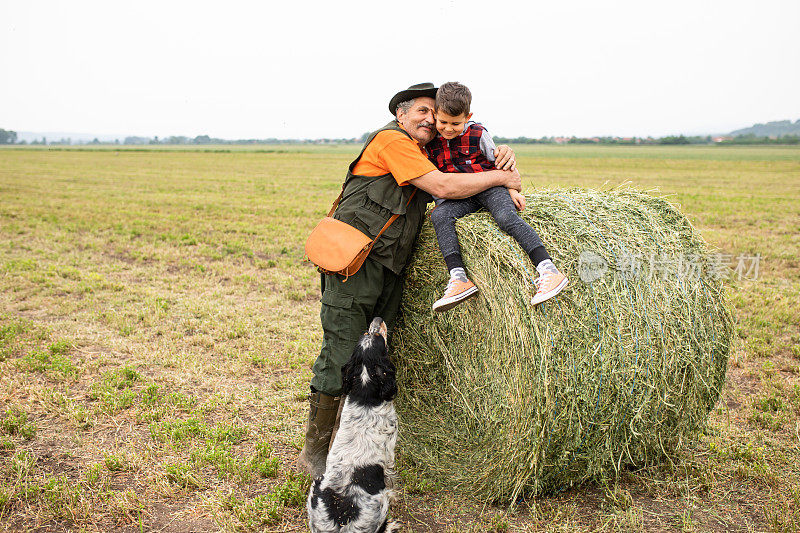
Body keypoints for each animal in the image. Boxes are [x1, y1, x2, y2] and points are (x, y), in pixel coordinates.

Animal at [306, 318, 400, 528]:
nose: (377, 319)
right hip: (380, 505)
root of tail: (341, 516)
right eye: (377, 335)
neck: (365, 390)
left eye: (366, 333)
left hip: (315, 487)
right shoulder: (390, 449)